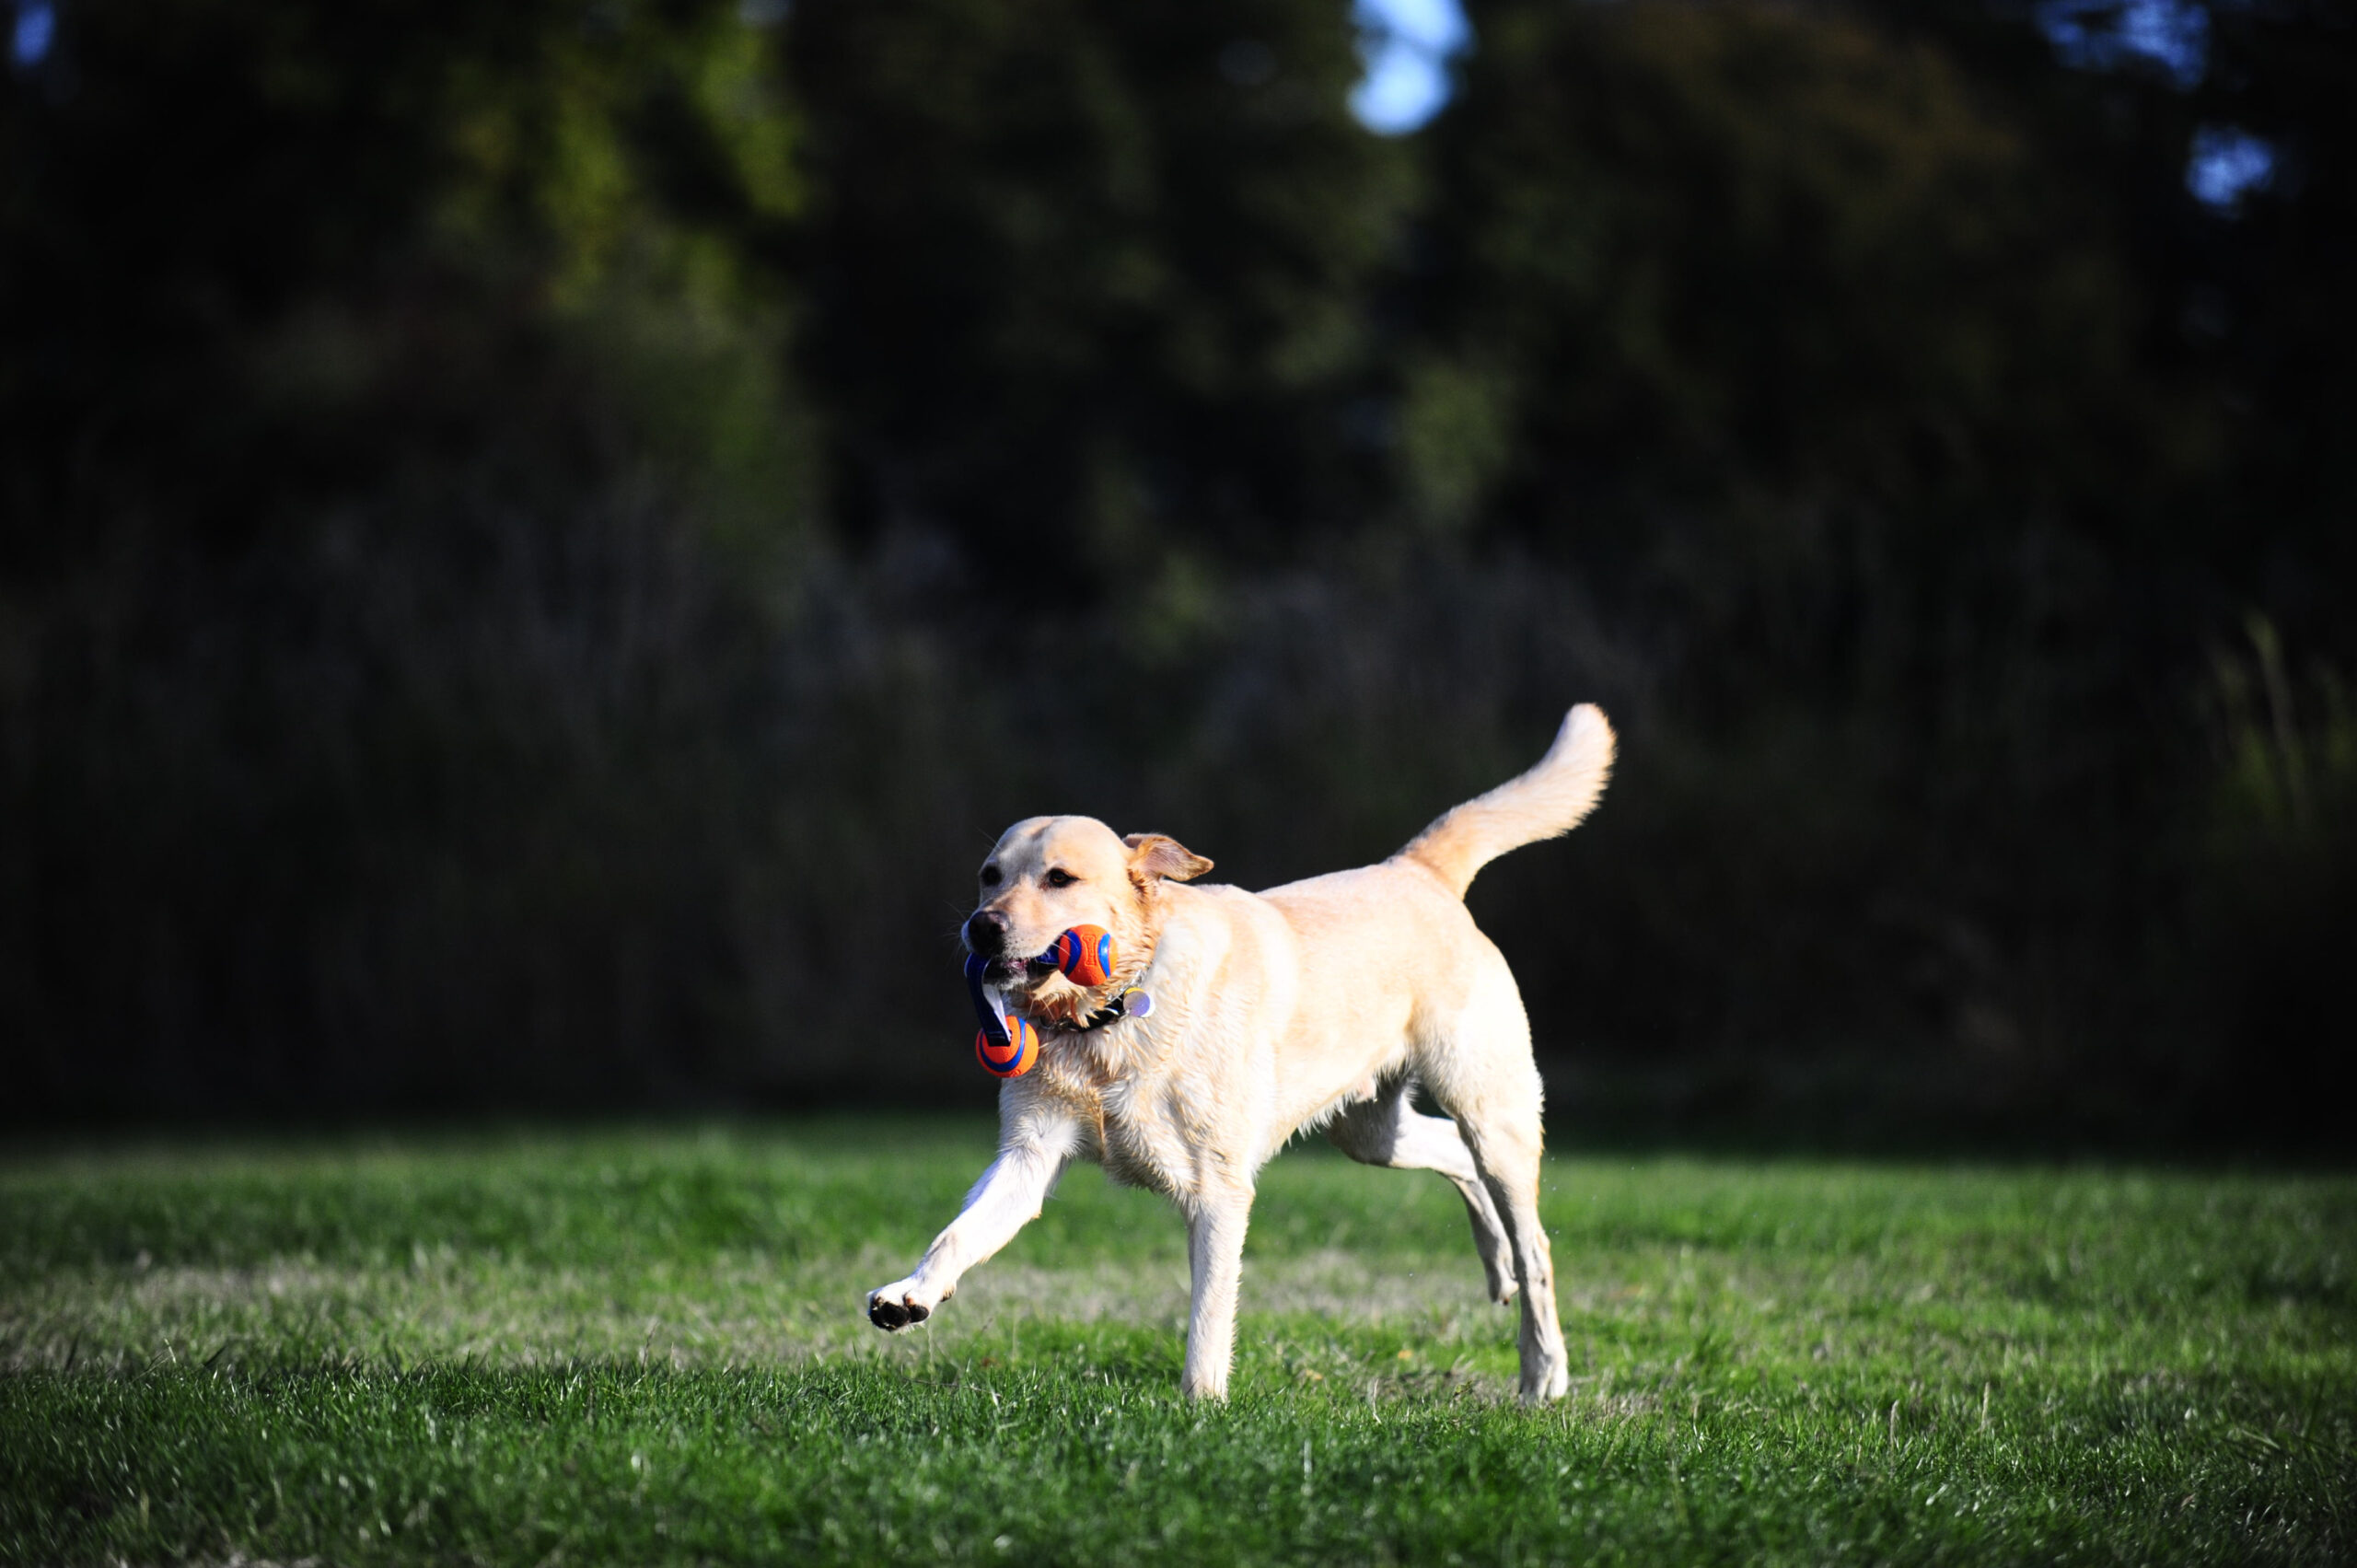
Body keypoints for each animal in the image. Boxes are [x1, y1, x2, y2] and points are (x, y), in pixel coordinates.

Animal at [867, 704, 1615, 1401]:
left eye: (1059, 878)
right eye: (989, 875)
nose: (981, 926)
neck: (1109, 1019)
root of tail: (1415, 869)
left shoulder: (1219, 1193)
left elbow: (1208, 1315)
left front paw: (1201, 1409)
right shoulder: (1028, 1156)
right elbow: (957, 1234)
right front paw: (911, 1293)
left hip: (1492, 1115)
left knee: (1535, 1245)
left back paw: (1543, 1373)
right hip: (1373, 1133)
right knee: (1455, 1160)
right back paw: (1497, 1269)